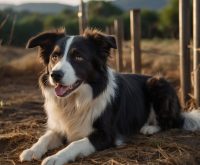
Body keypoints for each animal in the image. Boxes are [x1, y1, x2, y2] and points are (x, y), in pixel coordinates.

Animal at [19, 28, 200, 165]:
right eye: (54, 57)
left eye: (78, 57)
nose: (55, 75)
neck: (76, 101)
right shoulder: (60, 127)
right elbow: (45, 137)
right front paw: (31, 150)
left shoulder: (107, 135)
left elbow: (76, 144)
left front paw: (55, 157)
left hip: (157, 84)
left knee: (170, 122)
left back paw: (149, 127)